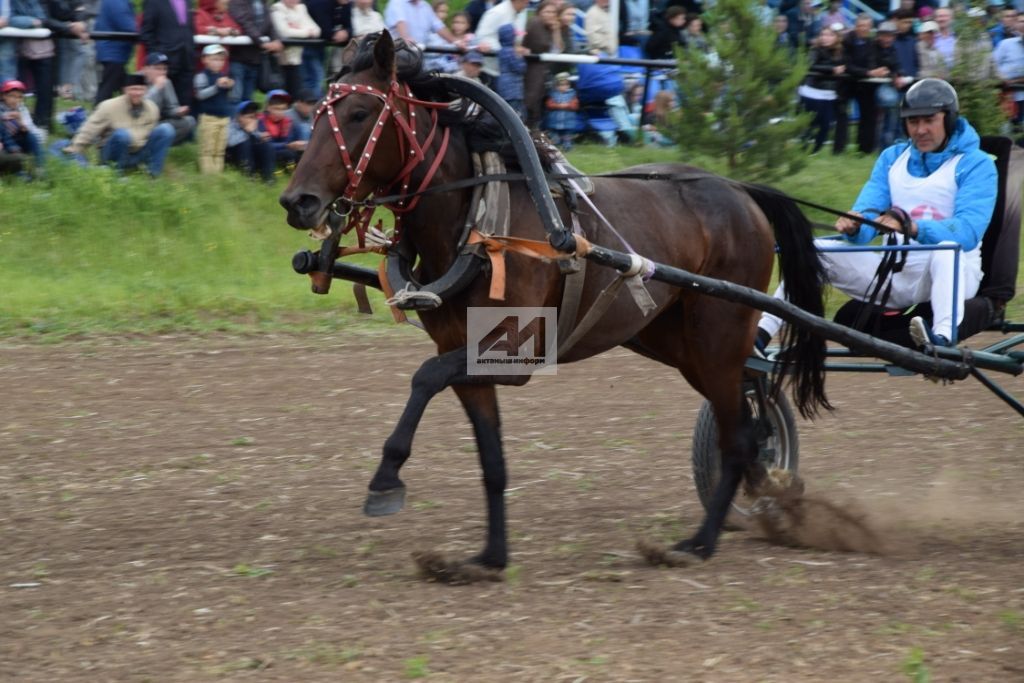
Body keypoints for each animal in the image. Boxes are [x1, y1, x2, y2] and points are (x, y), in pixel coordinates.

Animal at [280, 30, 831, 577]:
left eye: (358, 113)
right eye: (316, 113)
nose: (297, 201)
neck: (481, 225)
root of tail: (740, 190)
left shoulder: (513, 353)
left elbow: (425, 377)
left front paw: (386, 478)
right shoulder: (466, 355)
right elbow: (491, 459)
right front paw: (488, 557)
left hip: (718, 335)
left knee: (739, 436)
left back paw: (700, 541)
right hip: (674, 342)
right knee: (743, 420)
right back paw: (766, 497)